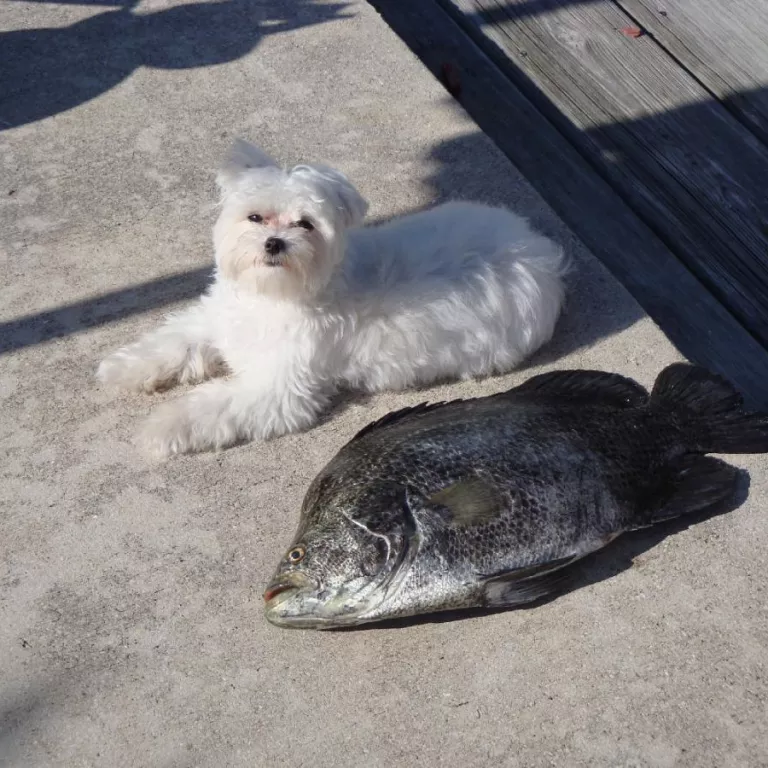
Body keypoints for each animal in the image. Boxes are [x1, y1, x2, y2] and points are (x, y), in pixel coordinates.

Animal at [96, 140, 568, 456]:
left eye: (305, 224)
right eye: (255, 217)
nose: (274, 243)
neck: (272, 296)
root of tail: (541, 252)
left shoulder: (276, 390)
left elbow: (210, 405)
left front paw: (161, 426)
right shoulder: (215, 320)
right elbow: (173, 343)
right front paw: (124, 368)